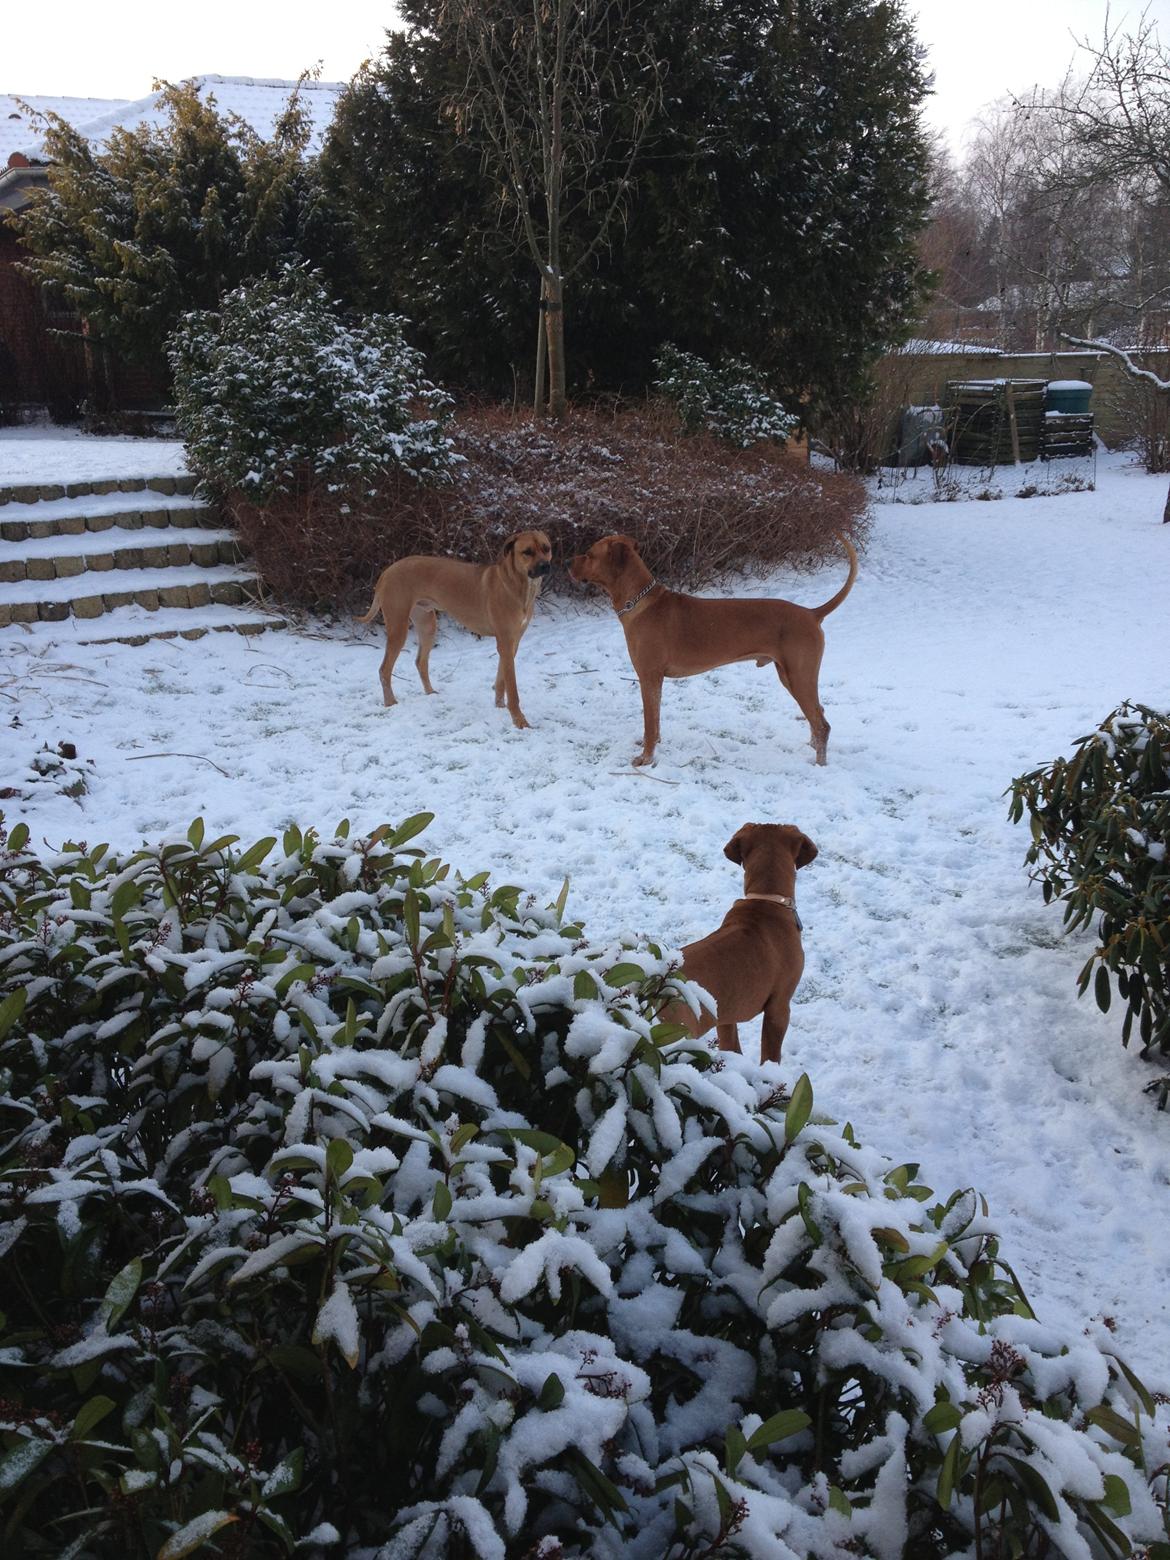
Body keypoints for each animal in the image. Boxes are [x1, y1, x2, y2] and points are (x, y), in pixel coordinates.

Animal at [570, 536, 861, 767]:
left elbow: (649, 723)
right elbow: (656, 721)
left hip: (799, 676)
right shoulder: (655, 681)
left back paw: (819, 764)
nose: (566, 563)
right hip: (791, 676)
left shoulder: (648, 677)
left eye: (590, 553)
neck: (641, 603)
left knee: (822, 724)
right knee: (818, 713)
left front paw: (646, 758)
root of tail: (812, 613)